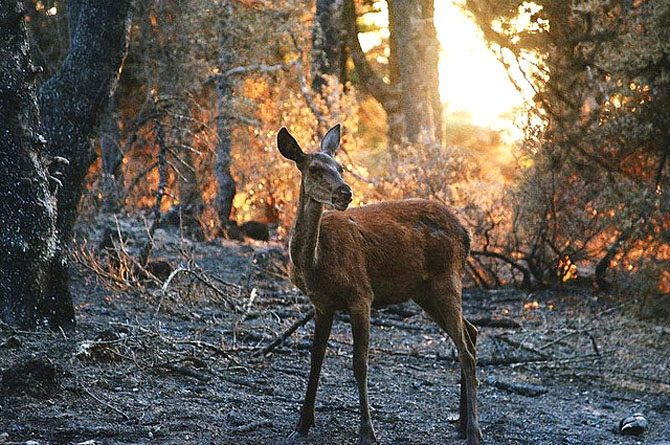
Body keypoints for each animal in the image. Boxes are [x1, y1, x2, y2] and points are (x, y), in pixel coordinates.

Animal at [278, 122, 484, 444]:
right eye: (313, 168)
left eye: (340, 167)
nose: (345, 192)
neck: (315, 262)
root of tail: (466, 234)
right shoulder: (322, 304)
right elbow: (315, 359)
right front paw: (301, 425)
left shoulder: (361, 294)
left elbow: (360, 363)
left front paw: (367, 432)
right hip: (424, 291)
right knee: (471, 331)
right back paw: (461, 424)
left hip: (447, 279)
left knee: (465, 350)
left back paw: (474, 431)